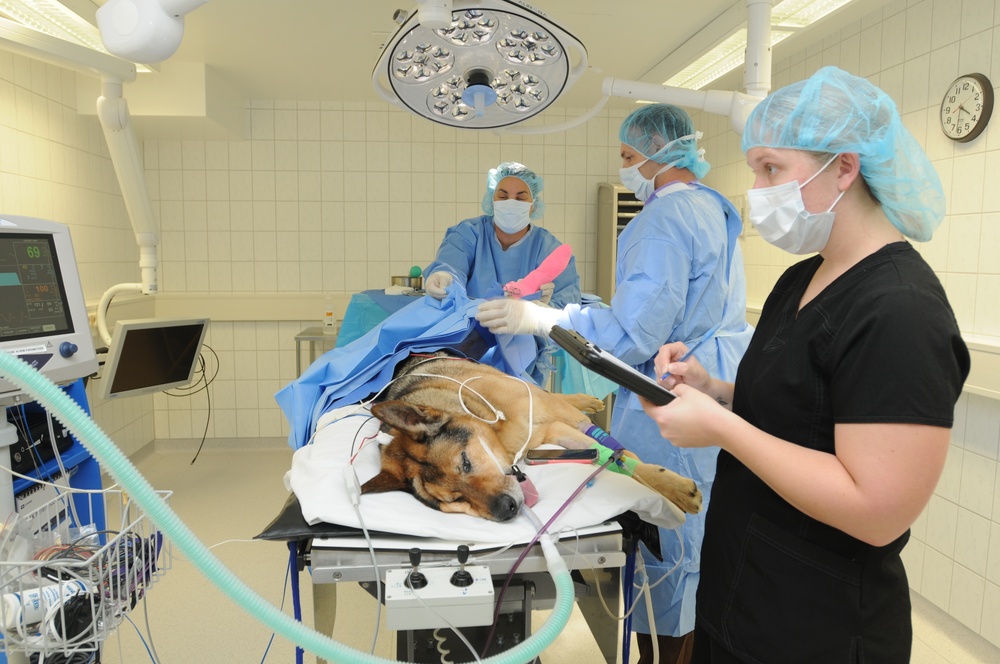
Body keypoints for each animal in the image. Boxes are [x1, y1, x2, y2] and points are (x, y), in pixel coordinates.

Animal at [362, 352, 704, 524]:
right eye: (455, 500)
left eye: (466, 462)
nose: (506, 509)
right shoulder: (551, 431)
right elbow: (606, 456)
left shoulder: (556, 418)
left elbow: (623, 456)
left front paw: (672, 486)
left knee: (554, 394)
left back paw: (586, 399)